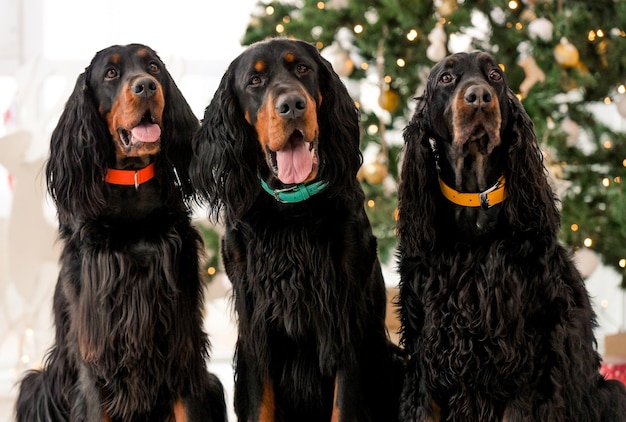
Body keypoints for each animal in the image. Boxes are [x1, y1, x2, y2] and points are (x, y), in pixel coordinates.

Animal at [15, 43, 227, 422]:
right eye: (111, 74)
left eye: (154, 67)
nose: (146, 87)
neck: (132, 185)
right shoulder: (96, 348)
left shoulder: (181, 341)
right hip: (36, 386)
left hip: (214, 383)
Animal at [190, 37, 400, 422]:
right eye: (255, 81)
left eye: (302, 68)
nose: (291, 106)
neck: (292, 210)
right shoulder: (254, 321)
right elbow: (261, 403)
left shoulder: (345, 317)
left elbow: (343, 404)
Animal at [394, 51, 624, 420]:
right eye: (446, 78)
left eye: (495, 75)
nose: (479, 96)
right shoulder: (425, 352)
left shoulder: (524, 361)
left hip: (611, 393)